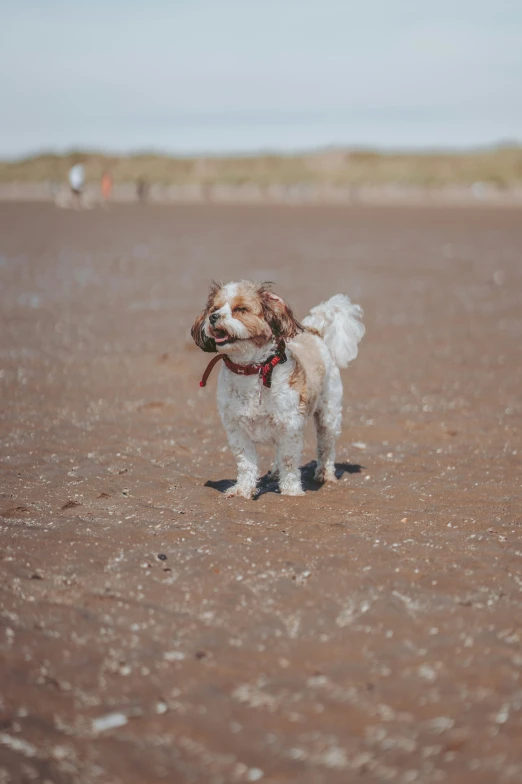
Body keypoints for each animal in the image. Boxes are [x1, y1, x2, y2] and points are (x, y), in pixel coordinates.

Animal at [189, 282, 364, 500]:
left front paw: (291, 491)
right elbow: (246, 463)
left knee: (326, 446)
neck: (253, 370)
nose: (213, 317)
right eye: (214, 309)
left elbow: (289, 460)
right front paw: (243, 490)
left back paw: (325, 474)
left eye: (241, 309)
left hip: (328, 413)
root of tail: (314, 332)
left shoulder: (289, 426)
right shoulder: (237, 429)